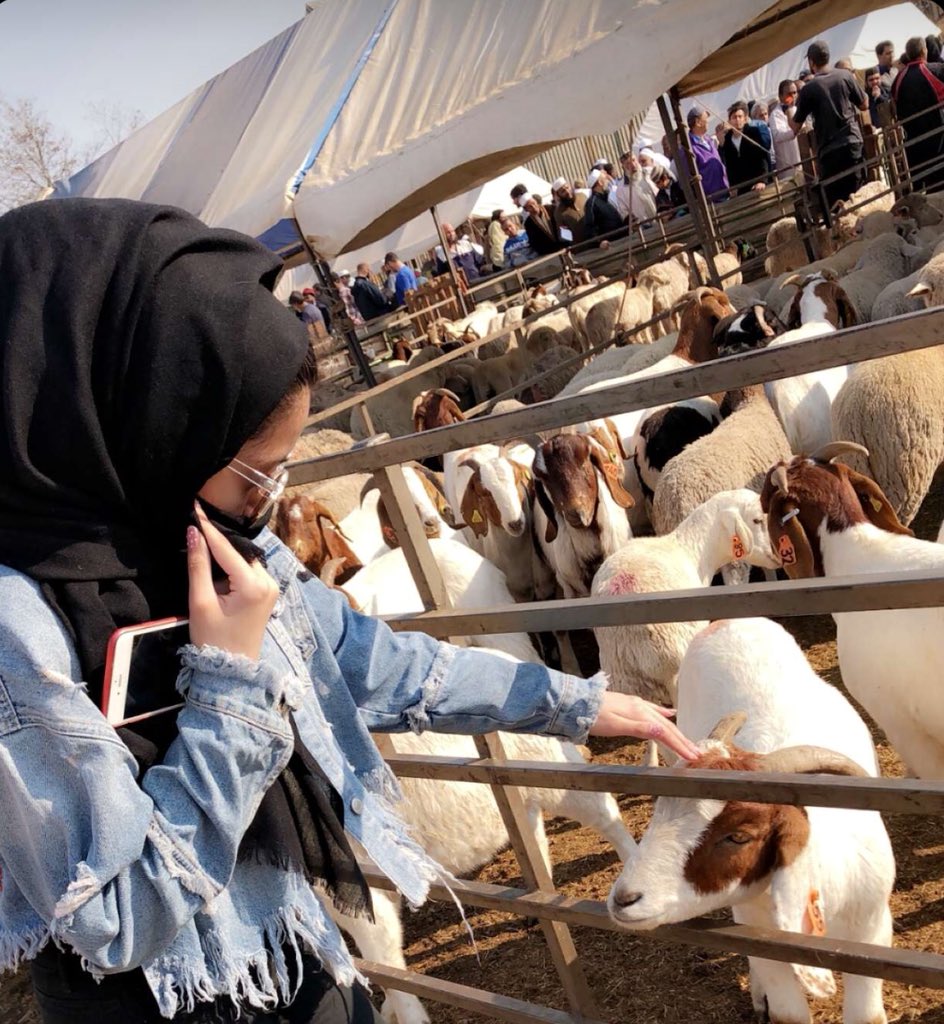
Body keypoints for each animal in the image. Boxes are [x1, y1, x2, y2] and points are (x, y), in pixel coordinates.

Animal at [610, 614, 888, 1024]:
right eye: (660, 811)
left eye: (739, 836)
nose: (624, 900)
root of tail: (728, 621)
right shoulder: (761, 938)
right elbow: (788, 1013)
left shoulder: (873, 933)